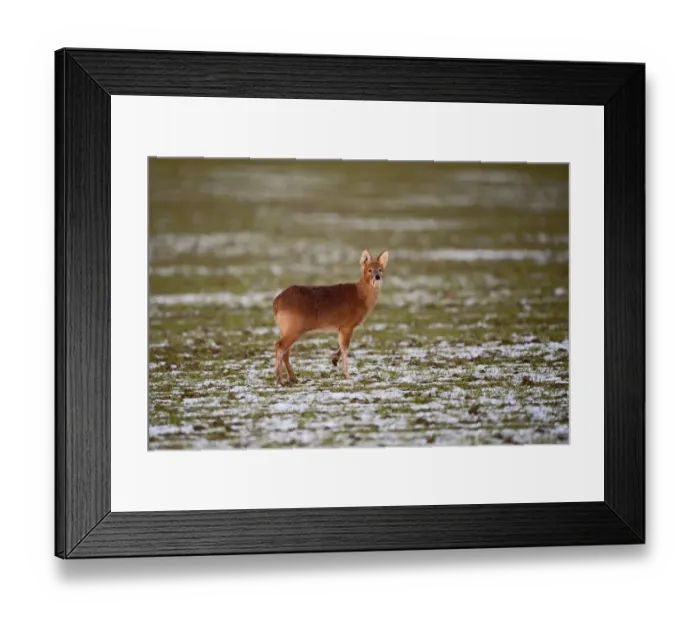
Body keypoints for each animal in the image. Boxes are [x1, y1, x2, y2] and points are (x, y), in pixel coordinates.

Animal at [272, 250, 389, 385]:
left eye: (380, 269)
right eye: (369, 270)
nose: (377, 276)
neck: (360, 297)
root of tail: (277, 302)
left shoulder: (341, 327)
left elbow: (341, 345)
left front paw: (334, 360)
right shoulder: (347, 324)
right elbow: (345, 346)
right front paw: (346, 374)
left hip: (285, 327)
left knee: (285, 351)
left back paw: (293, 378)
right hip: (294, 325)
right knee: (279, 346)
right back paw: (280, 380)